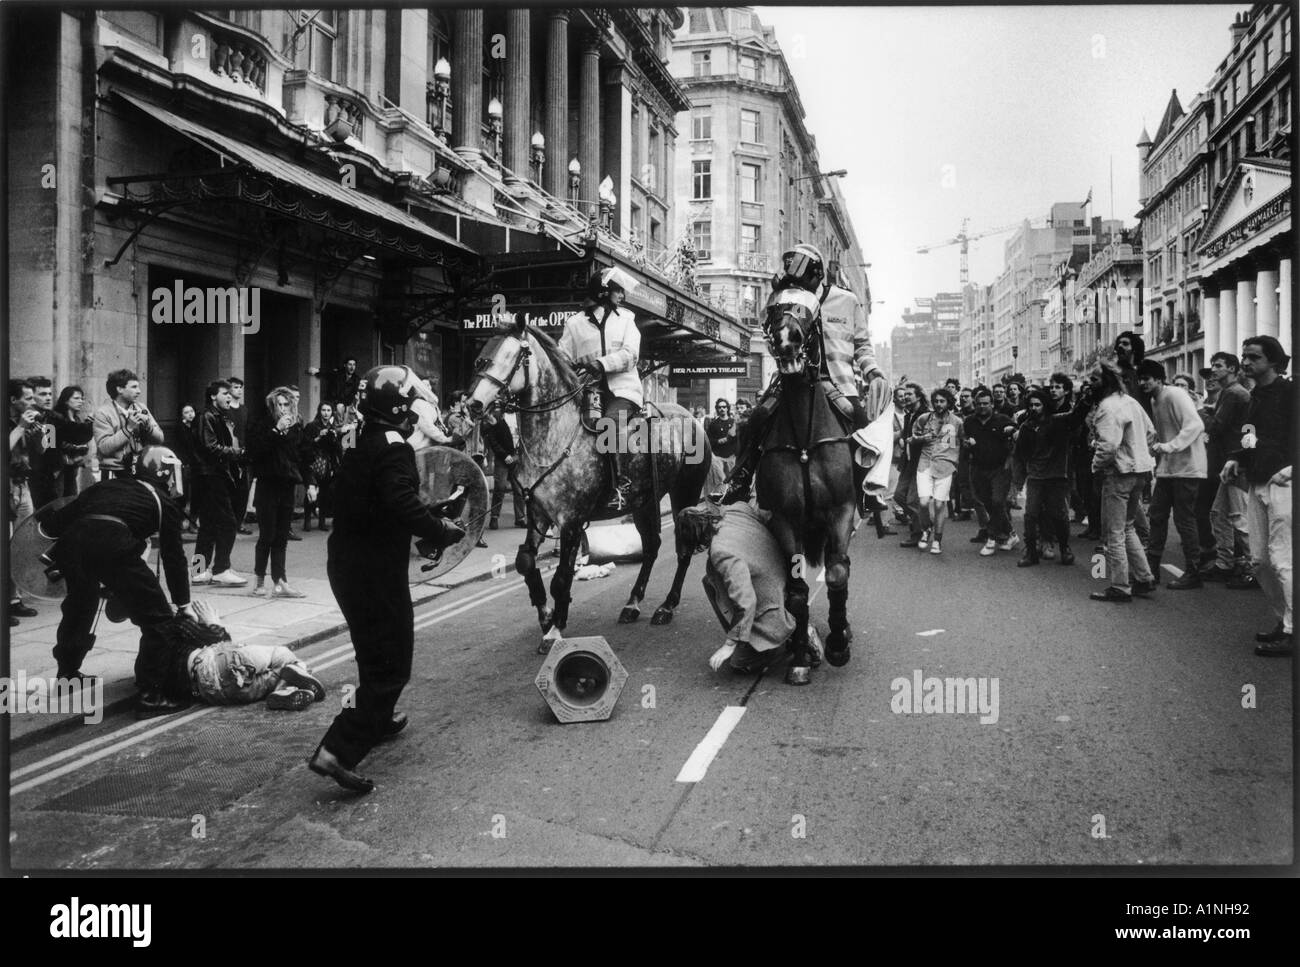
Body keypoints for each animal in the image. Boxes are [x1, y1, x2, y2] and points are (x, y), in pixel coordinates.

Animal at [467, 317, 712, 649]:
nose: (473, 404)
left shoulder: (571, 520)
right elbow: (526, 562)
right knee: (651, 547)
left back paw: (667, 606)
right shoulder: (538, 514)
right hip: (645, 501)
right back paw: (633, 603)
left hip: (684, 493)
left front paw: (555, 630)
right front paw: (546, 615)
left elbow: (561, 577)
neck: (555, 435)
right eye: (481, 354)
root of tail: (692, 417)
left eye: (513, 356)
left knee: (683, 548)